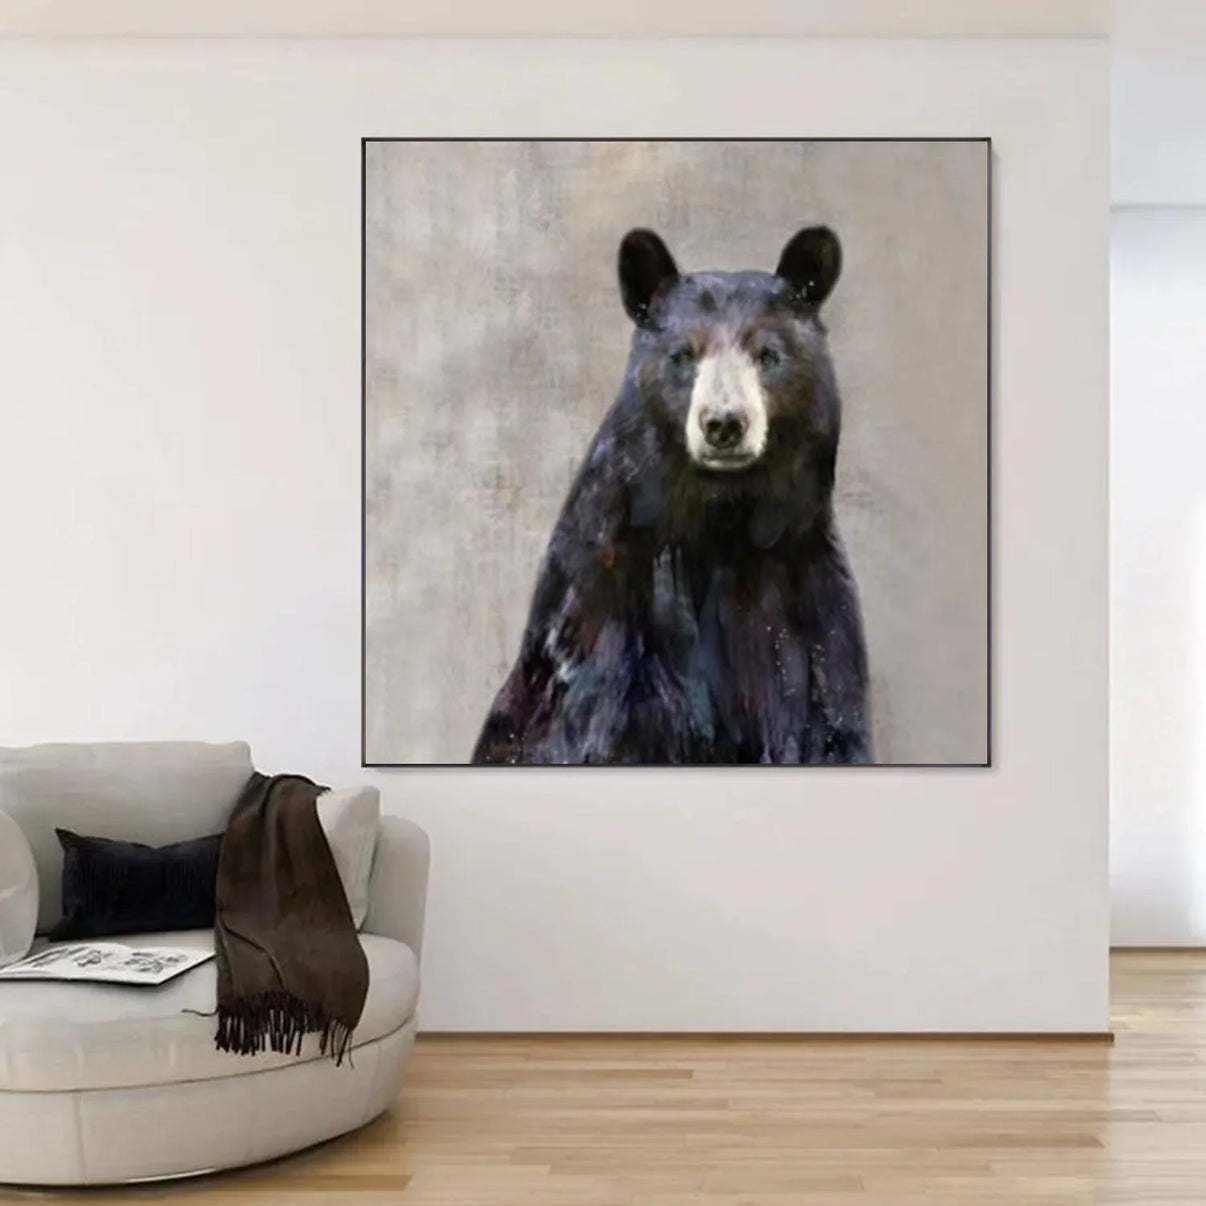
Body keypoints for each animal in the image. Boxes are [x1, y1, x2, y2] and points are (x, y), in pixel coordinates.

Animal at [471, 225, 872, 765]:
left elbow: (829, 725)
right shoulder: (605, 612)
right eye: (683, 354)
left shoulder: (810, 609)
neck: (722, 523)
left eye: (768, 355)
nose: (723, 423)